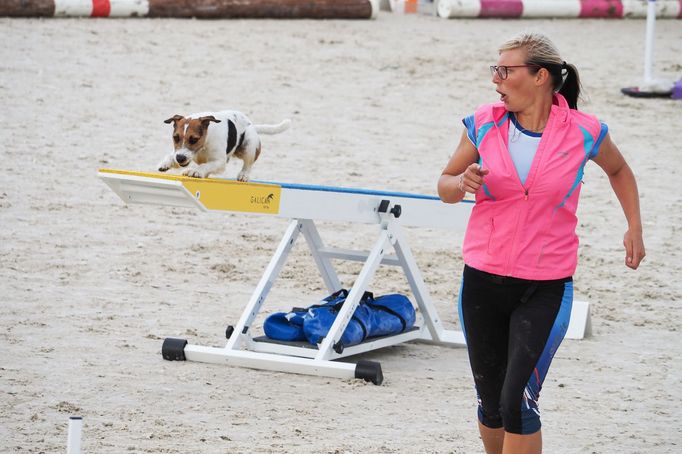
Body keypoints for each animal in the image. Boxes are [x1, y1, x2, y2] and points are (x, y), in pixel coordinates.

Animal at [157, 110, 290, 181]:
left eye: (194, 139)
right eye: (176, 137)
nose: (180, 158)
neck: (203, 146)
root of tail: (252, 126)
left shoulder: (220, 162)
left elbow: (205, 165)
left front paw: (195, 171)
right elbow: (171, 156)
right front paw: (165, 163)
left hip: (248, 145)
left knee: (248, 164)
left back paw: (243, 175)